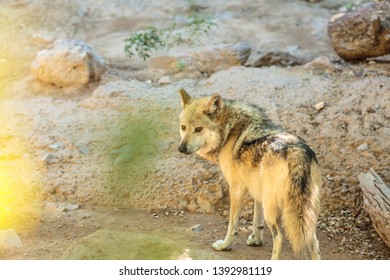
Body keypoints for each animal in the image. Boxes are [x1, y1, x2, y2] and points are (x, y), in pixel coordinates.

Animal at [178, 88, 322, 260]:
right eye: (183, 127)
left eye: (198, 129)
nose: (181, 148)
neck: (229, 132)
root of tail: (296, 151)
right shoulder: (256, 190)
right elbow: (256, 222)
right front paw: (256, 240)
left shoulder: (236, 188)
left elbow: (232, 224)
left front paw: (225, 245)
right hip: (302, 214)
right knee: (313, 244)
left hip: (273, 210)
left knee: (279, 237)